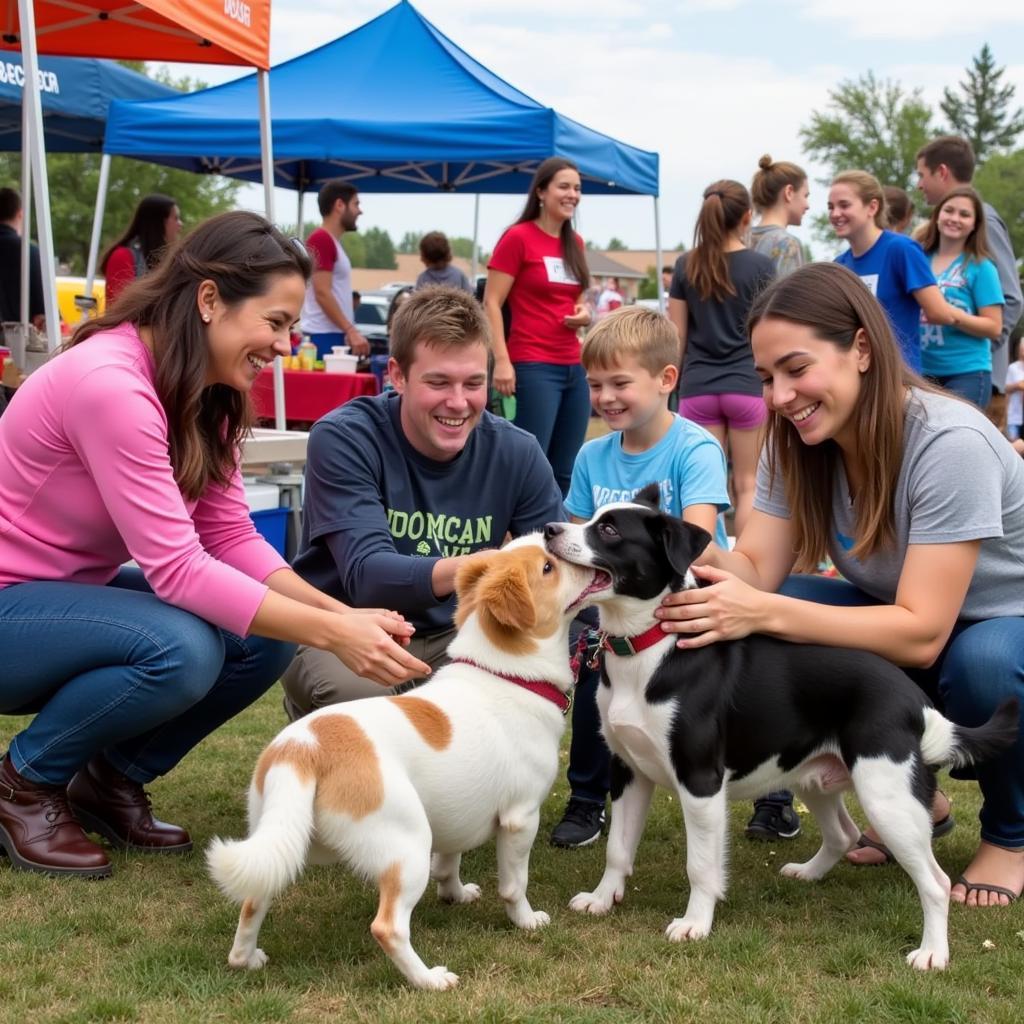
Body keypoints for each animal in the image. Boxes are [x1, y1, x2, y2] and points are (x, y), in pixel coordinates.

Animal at [207, 536, 606, 991]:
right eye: (547, 567)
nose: (562, 533)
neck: (504, 673)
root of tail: (305, 748)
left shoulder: (456, 815)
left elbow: (449, 864)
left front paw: (455, 895)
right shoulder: (520, 819)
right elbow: (513, 884)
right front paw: (525, 920)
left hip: (282, 839)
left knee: (253, 898)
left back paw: (246, 957)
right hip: (407, 846)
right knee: (388, 927)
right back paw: (429, 979)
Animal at [544, 487, 1015, 966]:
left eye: (609, 530)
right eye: (593, 518)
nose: (549, 529)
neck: (649, 648)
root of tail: (916, 702)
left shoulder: (700, 781)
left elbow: (702, 866)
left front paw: (695, 923)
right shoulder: (628, 770)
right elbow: (618, 849)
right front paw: (602, 900)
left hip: (888, 795)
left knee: (935, 882)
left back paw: (932, 953)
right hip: (816, 778)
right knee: (844, 834)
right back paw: (809, 873)